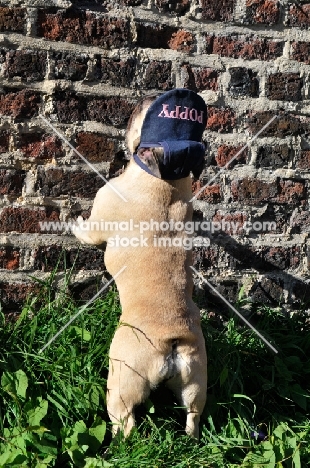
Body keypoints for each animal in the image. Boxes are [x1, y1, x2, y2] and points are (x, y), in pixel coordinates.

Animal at [72, 89, 208, 440]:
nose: (140, 100)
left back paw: (120, 443)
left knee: (126, 420)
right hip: (196, 381)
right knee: (193, 415)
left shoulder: (101, 215)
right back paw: (191, 438)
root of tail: (173, 342)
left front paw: (75, 223)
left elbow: (88, 231)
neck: (167, 180)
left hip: (123, 379)